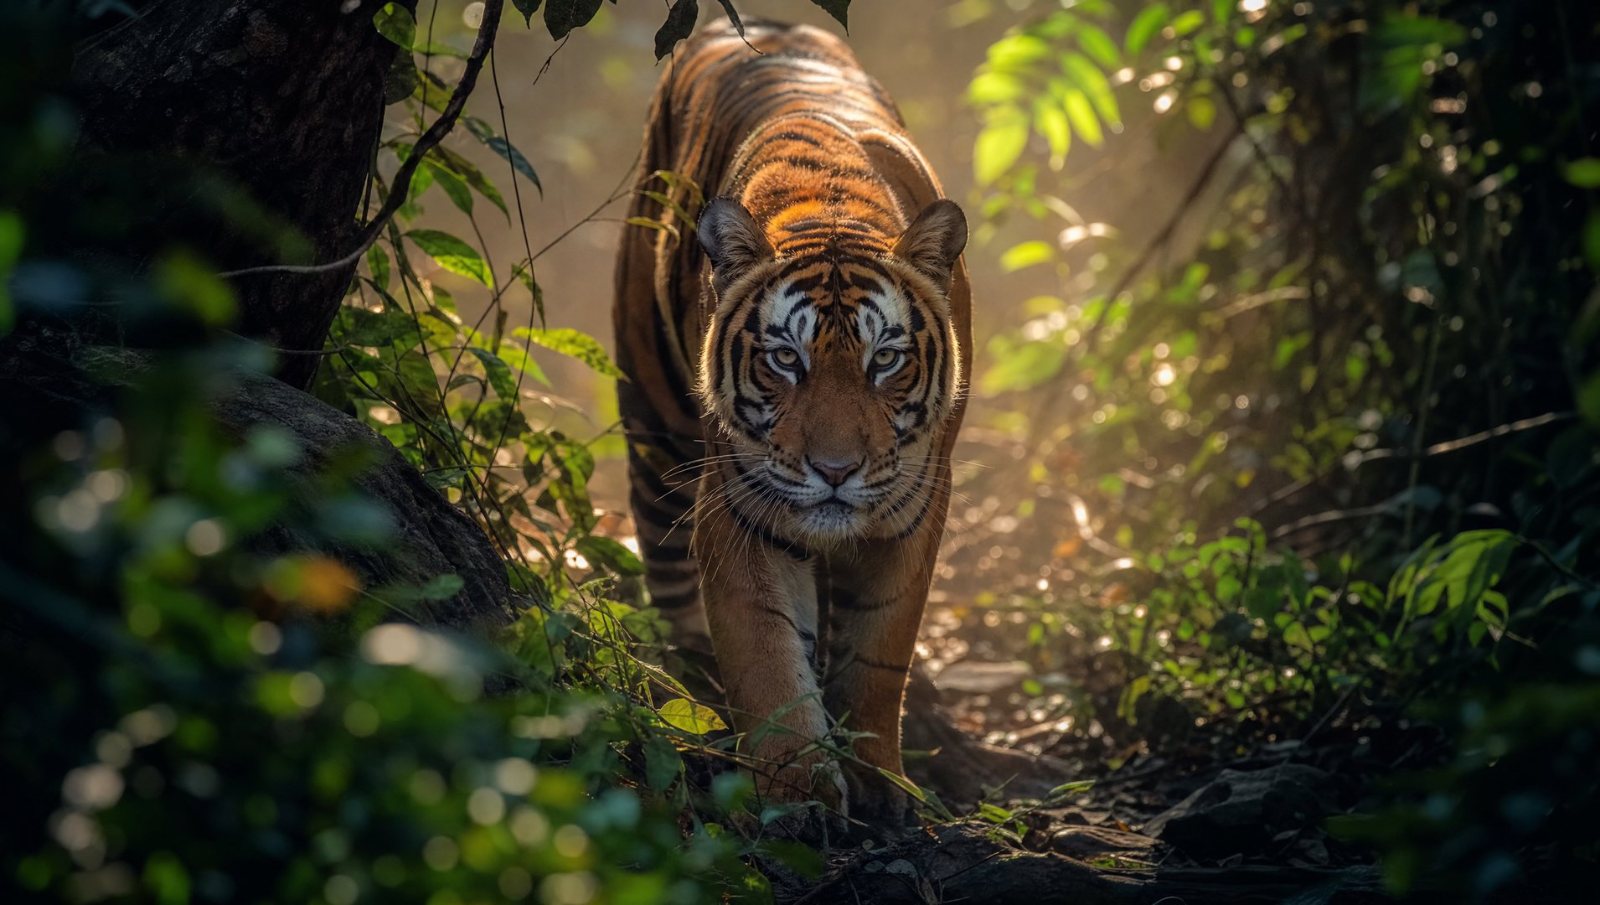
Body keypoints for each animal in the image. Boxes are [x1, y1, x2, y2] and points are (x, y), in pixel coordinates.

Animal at [612, 18, 971, 822]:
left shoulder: (917, 501)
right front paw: (797, 790)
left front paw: (879, 780)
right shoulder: (743, 507)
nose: (834, 471)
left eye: (885, 359)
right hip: (652, 418)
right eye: (785, 358)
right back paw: (689, 681)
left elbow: (879, 653)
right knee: (667, 561)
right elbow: (767, 652)